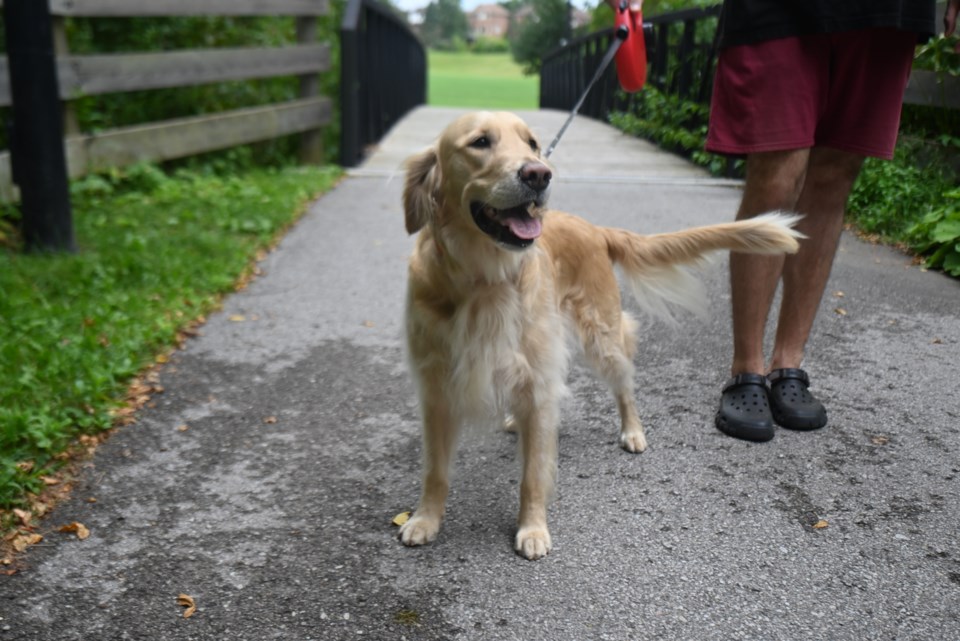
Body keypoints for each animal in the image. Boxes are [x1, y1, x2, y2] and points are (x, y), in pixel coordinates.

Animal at [398, 112, 804, 556]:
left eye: (532, 143)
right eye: (480, 142)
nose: (539, 174)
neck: (483, 280)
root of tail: (595, 229)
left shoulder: (539, 385)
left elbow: (533, 474)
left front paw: (533, 528)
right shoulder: (436, 388)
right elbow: (435, 470)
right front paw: (425, 519)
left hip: (603, 337)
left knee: (625, 386)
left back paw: (633, 431)